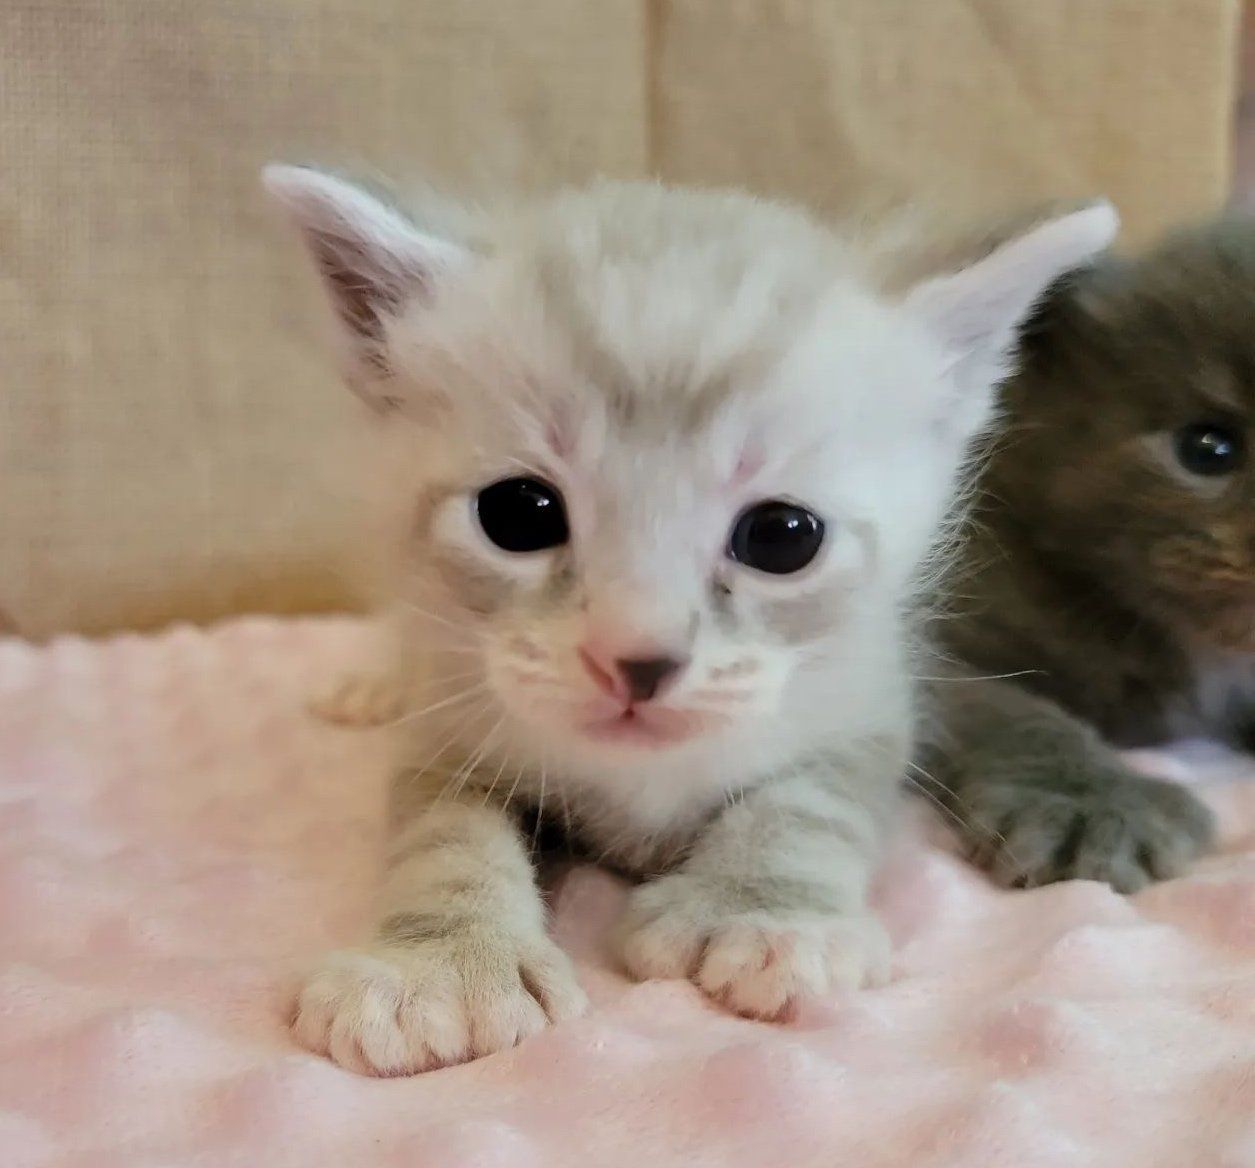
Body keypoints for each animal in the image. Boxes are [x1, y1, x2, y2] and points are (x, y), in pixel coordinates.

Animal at [267, 166, 1119, 1078]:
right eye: (518, 515)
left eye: (783, 536)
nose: (635, 661)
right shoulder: (452, 720)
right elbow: (444, 834)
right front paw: (440, 963)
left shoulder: (866, 699)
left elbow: (806, 804)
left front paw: (764, 914)